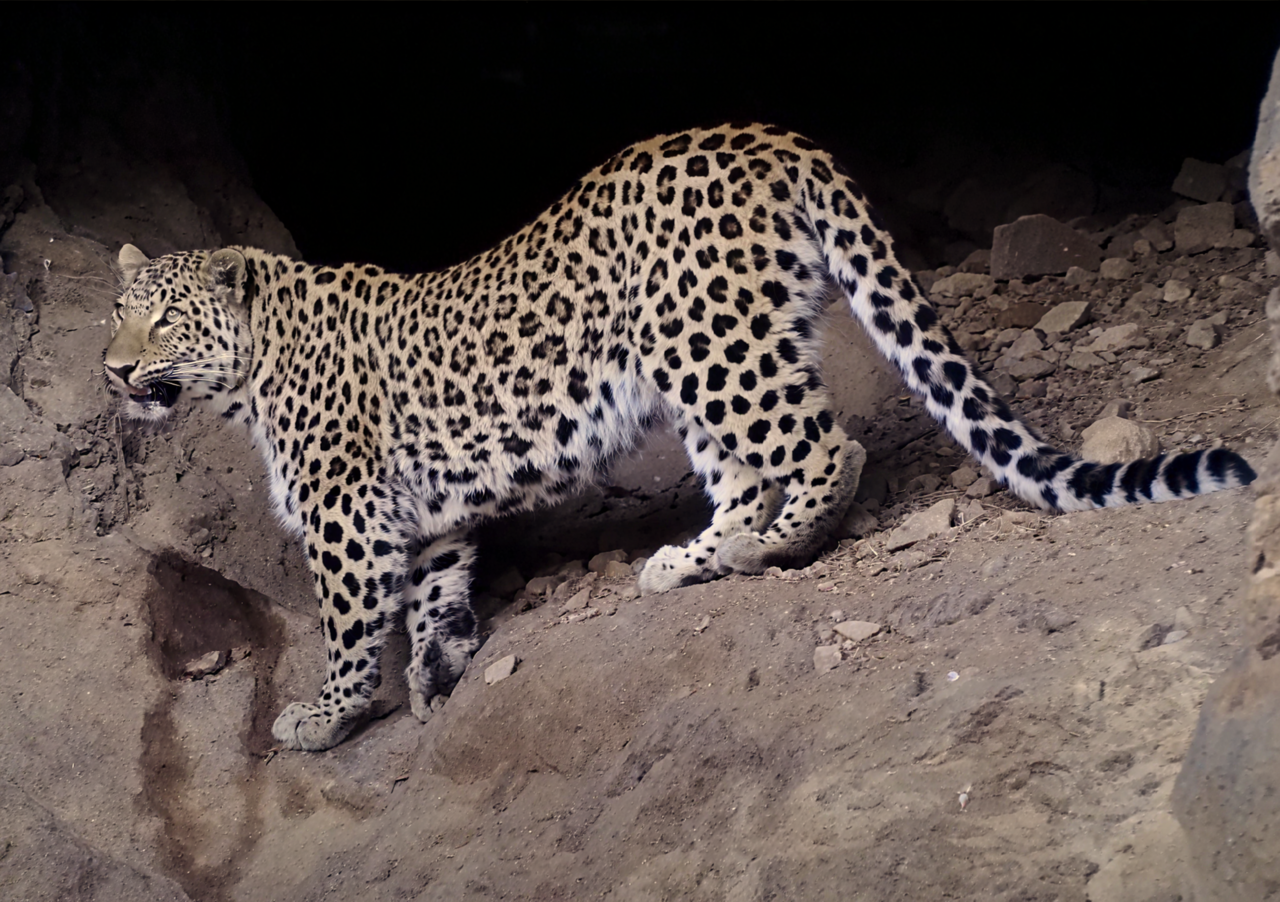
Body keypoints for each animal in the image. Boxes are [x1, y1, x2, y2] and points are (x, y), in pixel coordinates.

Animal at [104, 123, 1256, 751]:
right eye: (115, 314)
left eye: (163, 322)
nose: (114, 370)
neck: (249, 372)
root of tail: (769, 138)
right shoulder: (420, 517)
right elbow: (436, 593)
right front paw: (438, 675)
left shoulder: (346, 518)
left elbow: (350, 629)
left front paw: (324, 716)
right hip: (724, 351)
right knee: (747, 470)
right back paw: (693, 556)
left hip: (701, 341)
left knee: (821, 447)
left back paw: (765, 546)